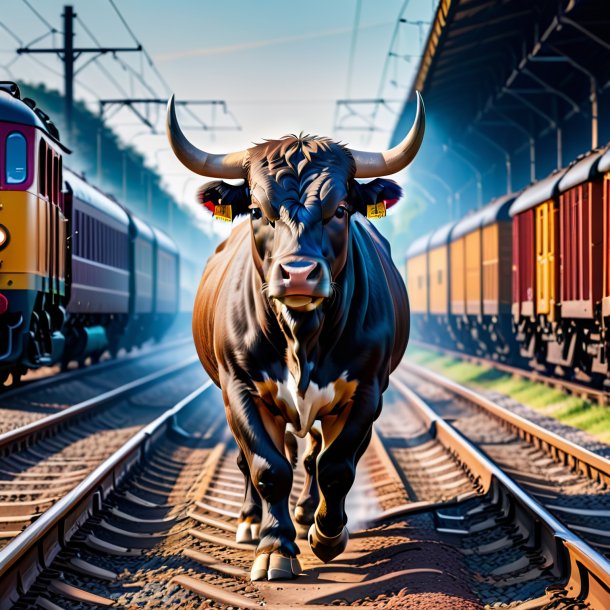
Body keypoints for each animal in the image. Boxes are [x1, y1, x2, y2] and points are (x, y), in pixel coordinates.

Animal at [166, 91, 422, 580]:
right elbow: (269, 467)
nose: (299, 273)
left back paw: (307, 514)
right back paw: (252, 521)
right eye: (256, 210)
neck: (302, 336)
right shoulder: (240, 387)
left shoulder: (367, 390)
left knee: (312, 454)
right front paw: (275, 547)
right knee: (257, 457)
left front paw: (326, 534)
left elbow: (335, 465)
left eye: (340, 210)